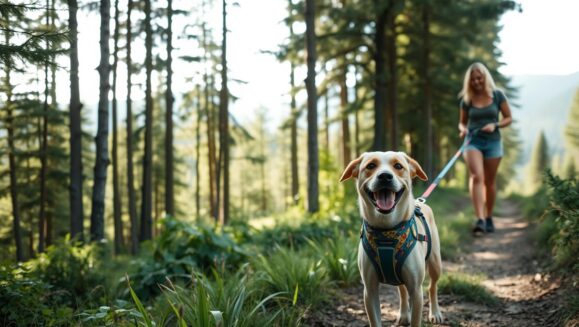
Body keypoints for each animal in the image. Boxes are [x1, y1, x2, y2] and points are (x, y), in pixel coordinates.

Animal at [340, 152, 444, 326]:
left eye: (398, 166)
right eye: (370, 165)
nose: (385, 176)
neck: (387, 230)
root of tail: (421, 203)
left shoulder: (416, 290)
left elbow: (416, 317)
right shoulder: (369, 290)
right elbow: (375, 320)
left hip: (435, 263)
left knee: (432, 286)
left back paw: (435, 313)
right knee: (402, 290)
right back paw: (403, 315)